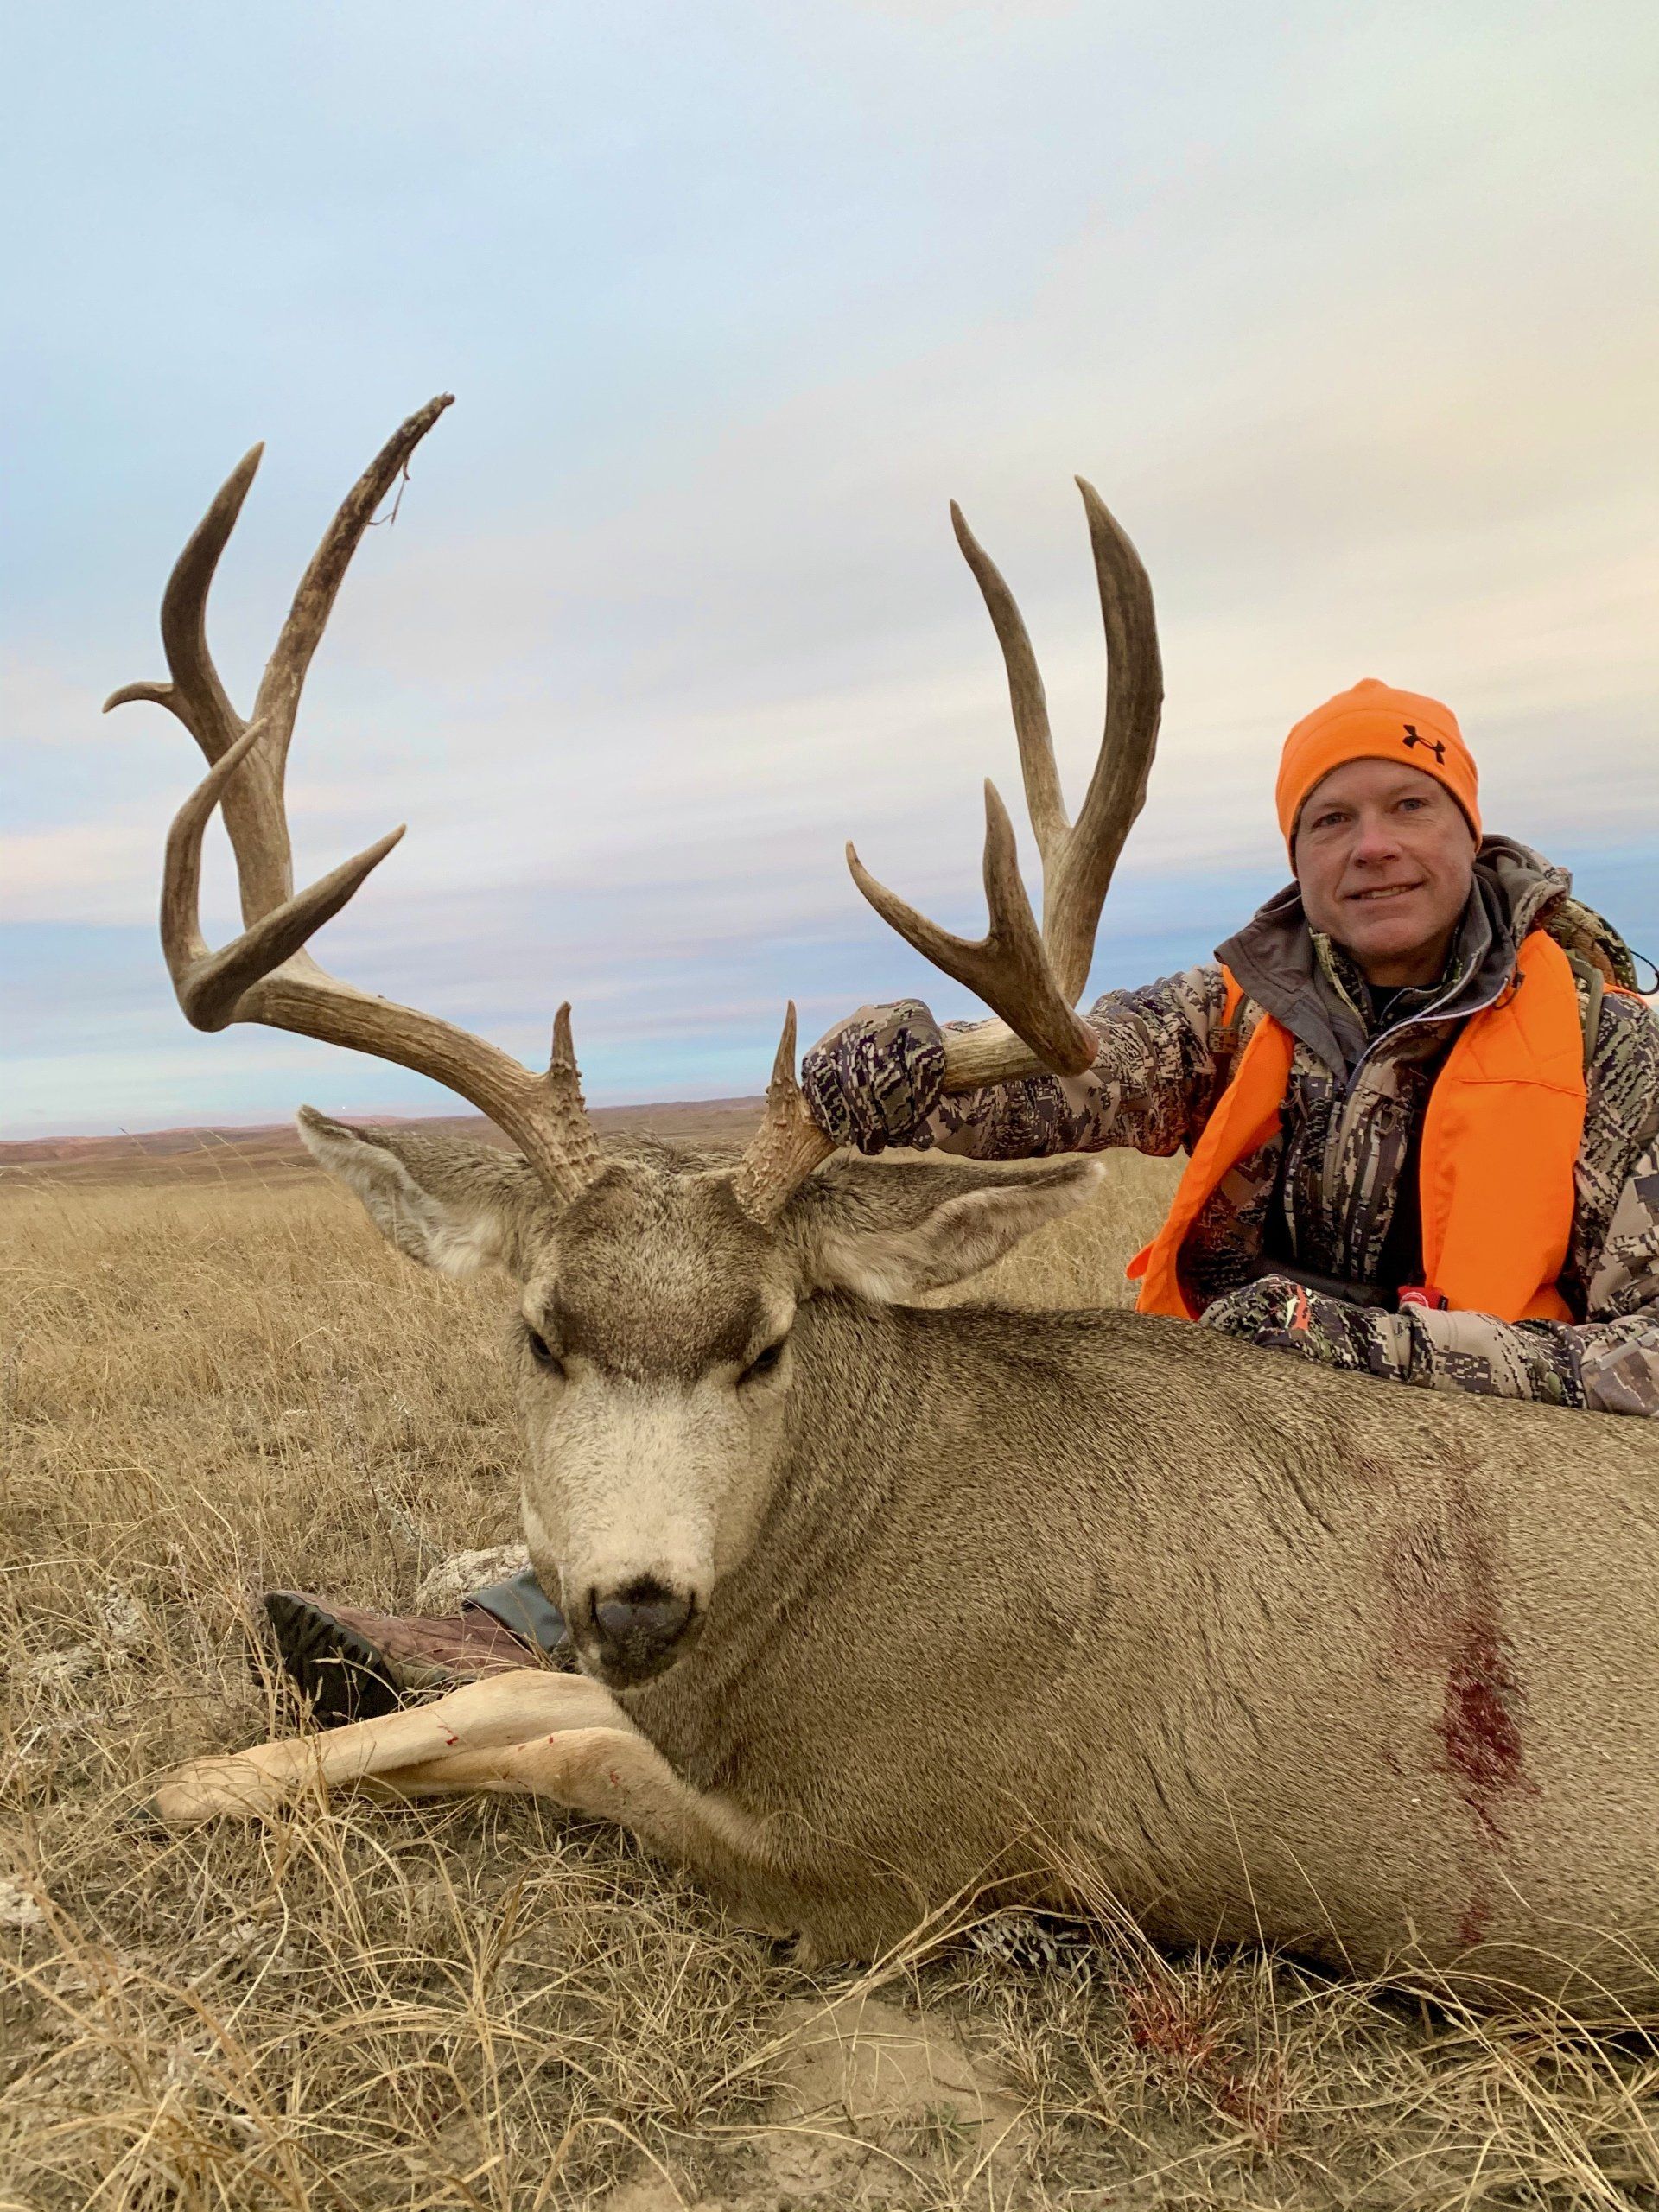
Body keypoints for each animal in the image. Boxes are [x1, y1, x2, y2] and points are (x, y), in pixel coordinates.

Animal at [119, 396, 1659, 2010]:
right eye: (539, 1335)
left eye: (769, 1344)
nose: (641, 1599)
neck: (849, 1554)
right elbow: (527, 1696)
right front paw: (206, 1780)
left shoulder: (897, 1850)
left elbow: (571, 1737)